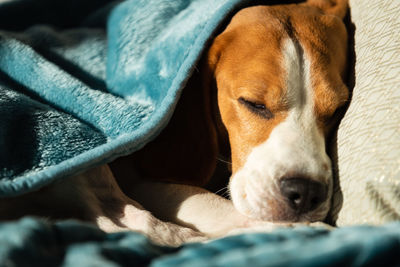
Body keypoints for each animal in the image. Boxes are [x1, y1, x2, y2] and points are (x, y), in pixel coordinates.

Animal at [0, 0, 346, 247]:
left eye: (337, 109)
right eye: (254, 104)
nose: (306, 192)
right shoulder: (140, 178)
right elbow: (211, 204)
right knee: (131, 224)